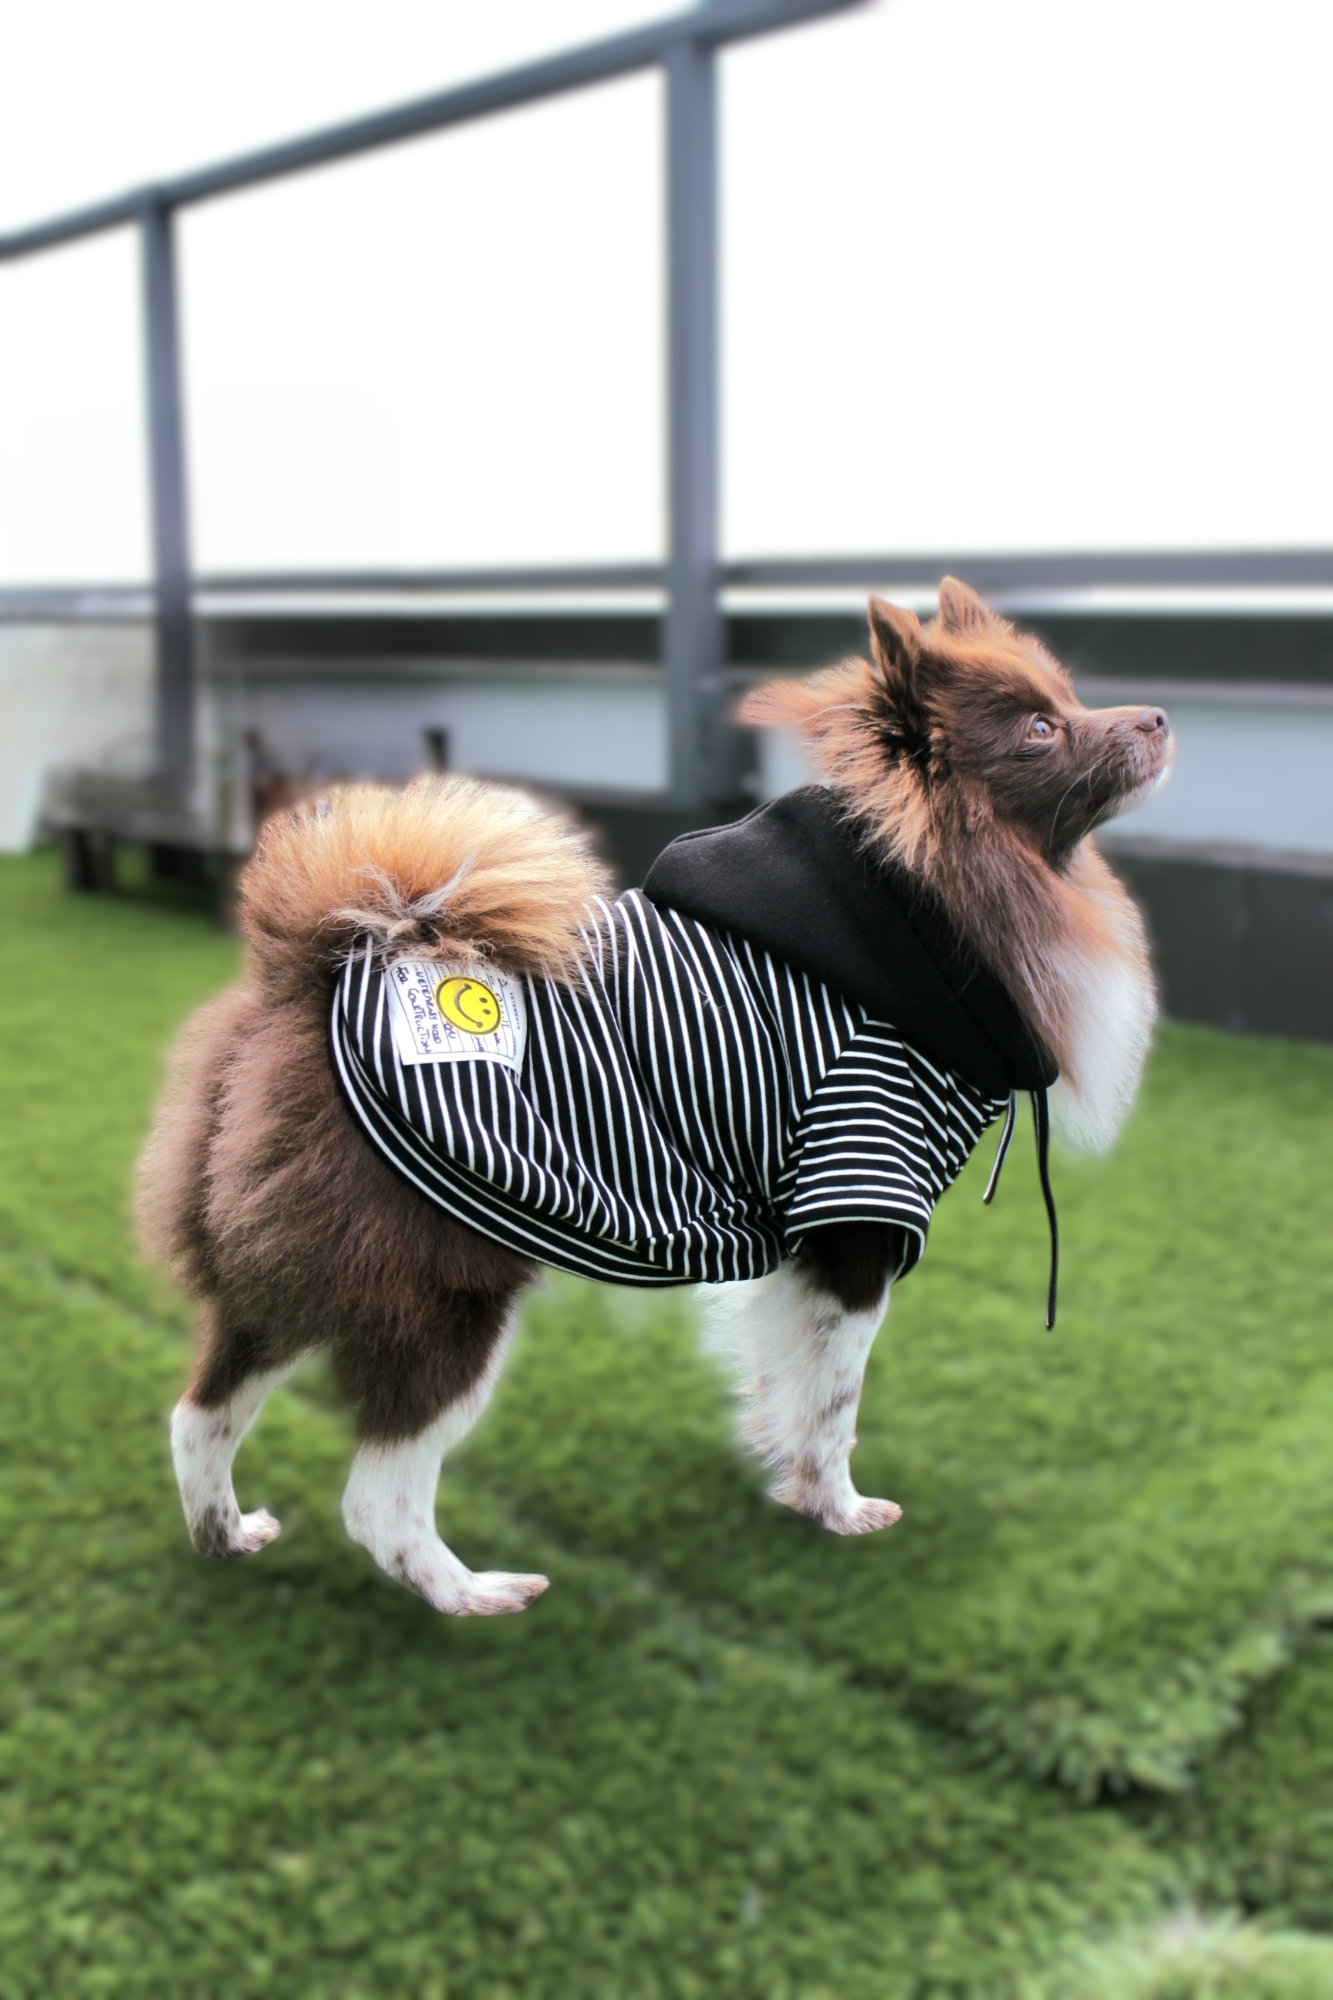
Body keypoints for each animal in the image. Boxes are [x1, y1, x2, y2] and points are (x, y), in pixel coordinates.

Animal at [140, 584, 1168, 1616]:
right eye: (1040, 729)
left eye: (1068, 699)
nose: (1159, 717)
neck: (928, 898)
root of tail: (311, 976)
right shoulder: (855, 1204)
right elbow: (835, 1400)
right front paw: (840, 1511)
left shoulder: (802, 1254)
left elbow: (791, 1386)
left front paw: (794, 1493)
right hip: (441, 1297)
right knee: (378, 1496)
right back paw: (470, 1594)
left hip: (288, 1275)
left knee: (200, 1413)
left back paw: (223, 1537)